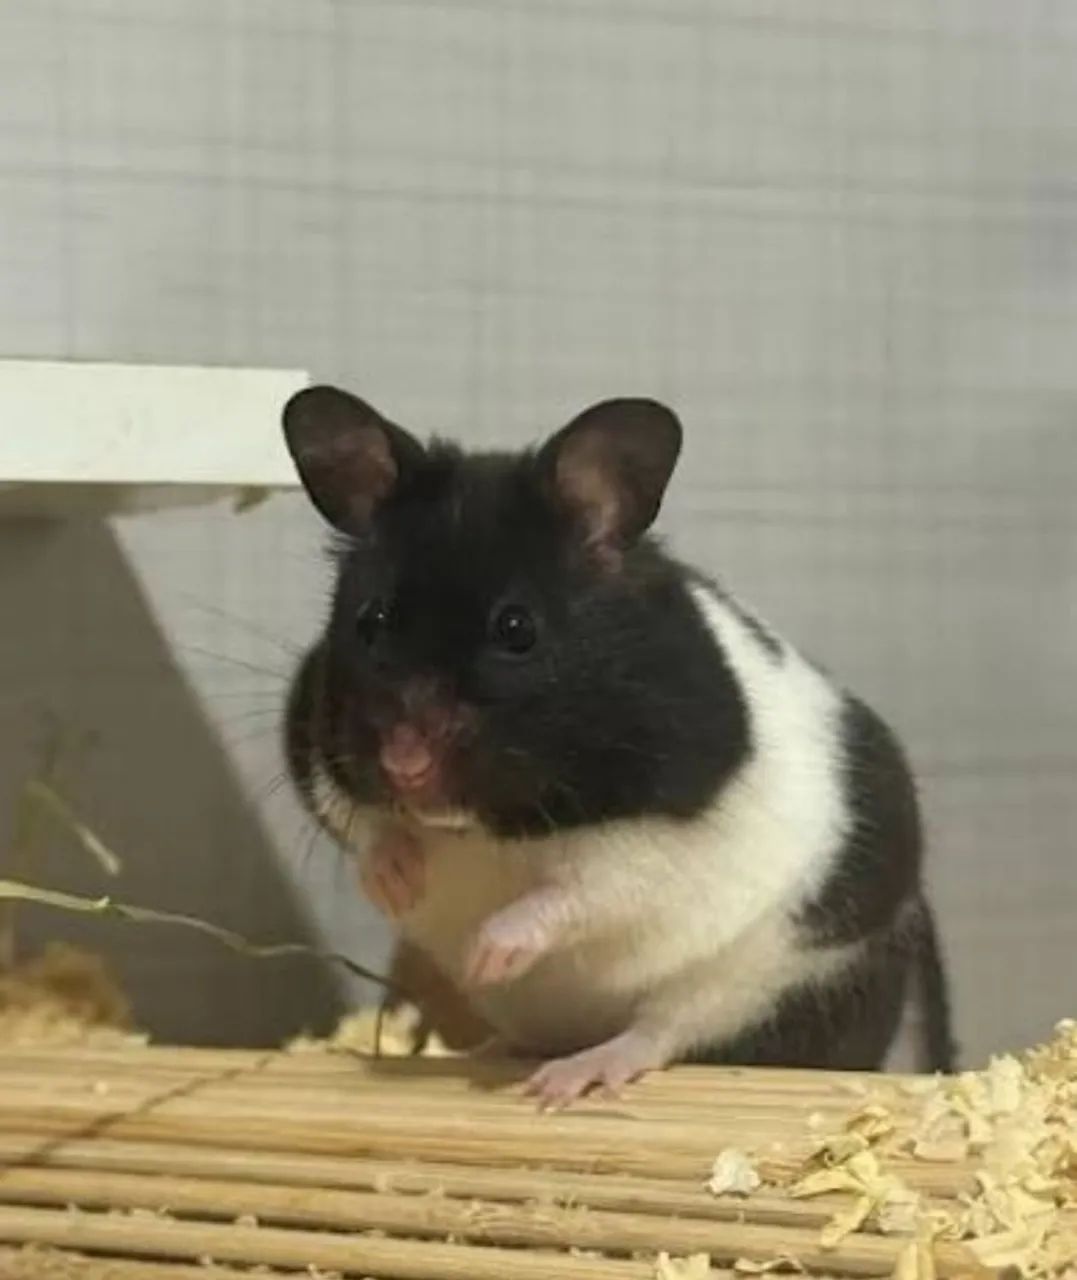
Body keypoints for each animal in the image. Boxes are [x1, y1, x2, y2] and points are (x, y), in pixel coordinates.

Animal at [283, 385, 955, 1106]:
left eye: (516, 628)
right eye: (370, 620)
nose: (404, 767)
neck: (490, 826)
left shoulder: (670, 832)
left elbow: (584, 889)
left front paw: (487, 955)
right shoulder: (314, 752)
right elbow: (361, 825)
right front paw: (398, 883)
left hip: (769, 980)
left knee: (662, 1032)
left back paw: (567, 1077)